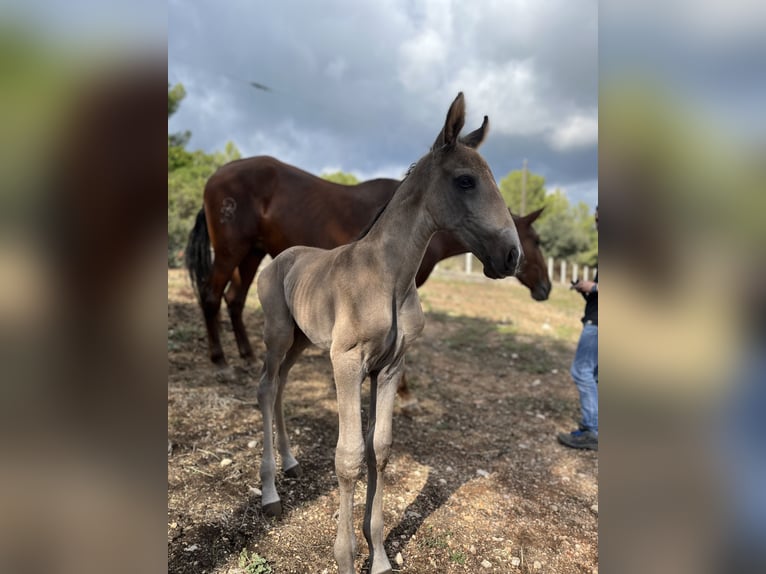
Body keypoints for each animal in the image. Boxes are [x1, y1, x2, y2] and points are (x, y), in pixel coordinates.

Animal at [255, 93, 520, 574]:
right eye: (466, 181)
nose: (511, 255)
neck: (387, 279)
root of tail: (279, 258)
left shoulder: (391, 367)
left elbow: (380, 449)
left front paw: (378, 556)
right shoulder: (346, 362)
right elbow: (348, 456)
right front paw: (345, 558)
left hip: (302, 341)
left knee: (281, 385)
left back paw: (291, 463)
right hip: (278, 334)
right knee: (266, 388)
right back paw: (269, 493)